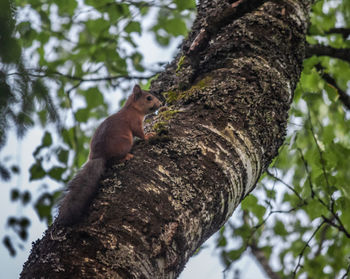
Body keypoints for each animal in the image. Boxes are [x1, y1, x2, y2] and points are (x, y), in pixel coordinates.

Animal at [56, 84, 162, 226]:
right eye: (149, 98)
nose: (160, 104)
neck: (133, 109)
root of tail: (98, 157)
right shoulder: (134, 122)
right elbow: (140, 133)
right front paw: (148, 136)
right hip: (124, 143)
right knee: (112, 161)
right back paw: (125, 157)